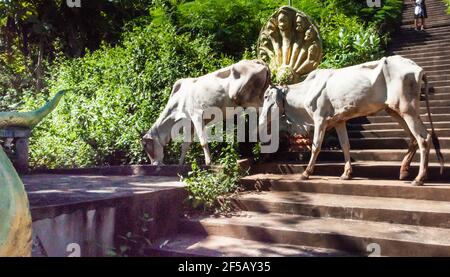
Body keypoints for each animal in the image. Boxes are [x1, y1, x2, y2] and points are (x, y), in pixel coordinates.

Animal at [258, 54, 444, 184]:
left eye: (266, 96)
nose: (261, 120)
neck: (305, 90)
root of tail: (418, 69)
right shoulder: (338, 121)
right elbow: (345, 145)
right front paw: (346, 173)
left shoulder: (320, 119)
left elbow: (316, 146)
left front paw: (306, 173)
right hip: (394, 110)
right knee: (414, 138)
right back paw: (404, 171)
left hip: (407, 110)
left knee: (423, 138)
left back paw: (419, 178)